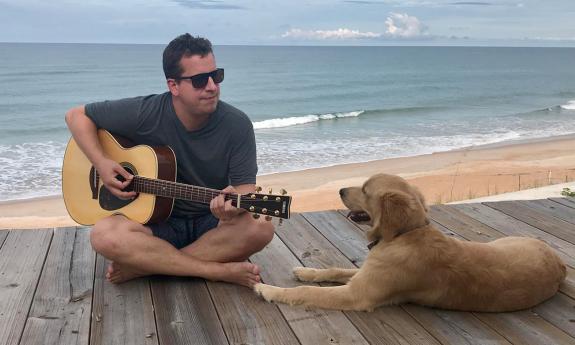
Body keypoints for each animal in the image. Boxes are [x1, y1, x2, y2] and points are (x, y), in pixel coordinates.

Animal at [255, 173, 568, 310]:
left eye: (365, 190)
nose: (341, 189)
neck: (403, 235)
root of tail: (561, 263)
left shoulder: (357, 294)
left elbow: (306, 292)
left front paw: (269, 290)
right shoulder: (365, 273)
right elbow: (334, 269)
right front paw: (306, 270)